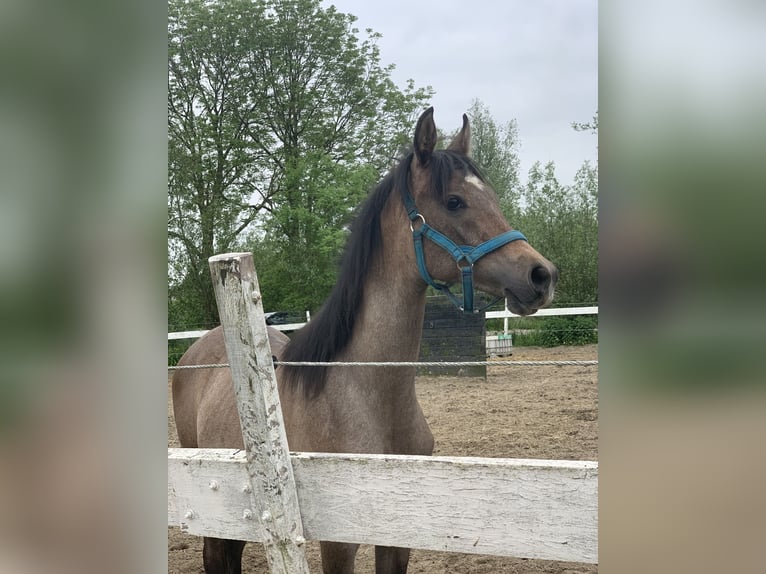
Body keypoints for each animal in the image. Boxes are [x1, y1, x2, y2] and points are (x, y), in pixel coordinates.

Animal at [172, 106, 560, 572]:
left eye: (494, 198)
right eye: (454, 201)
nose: (541, 275)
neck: (365, 394)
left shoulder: (395, 536)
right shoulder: (338, 543)